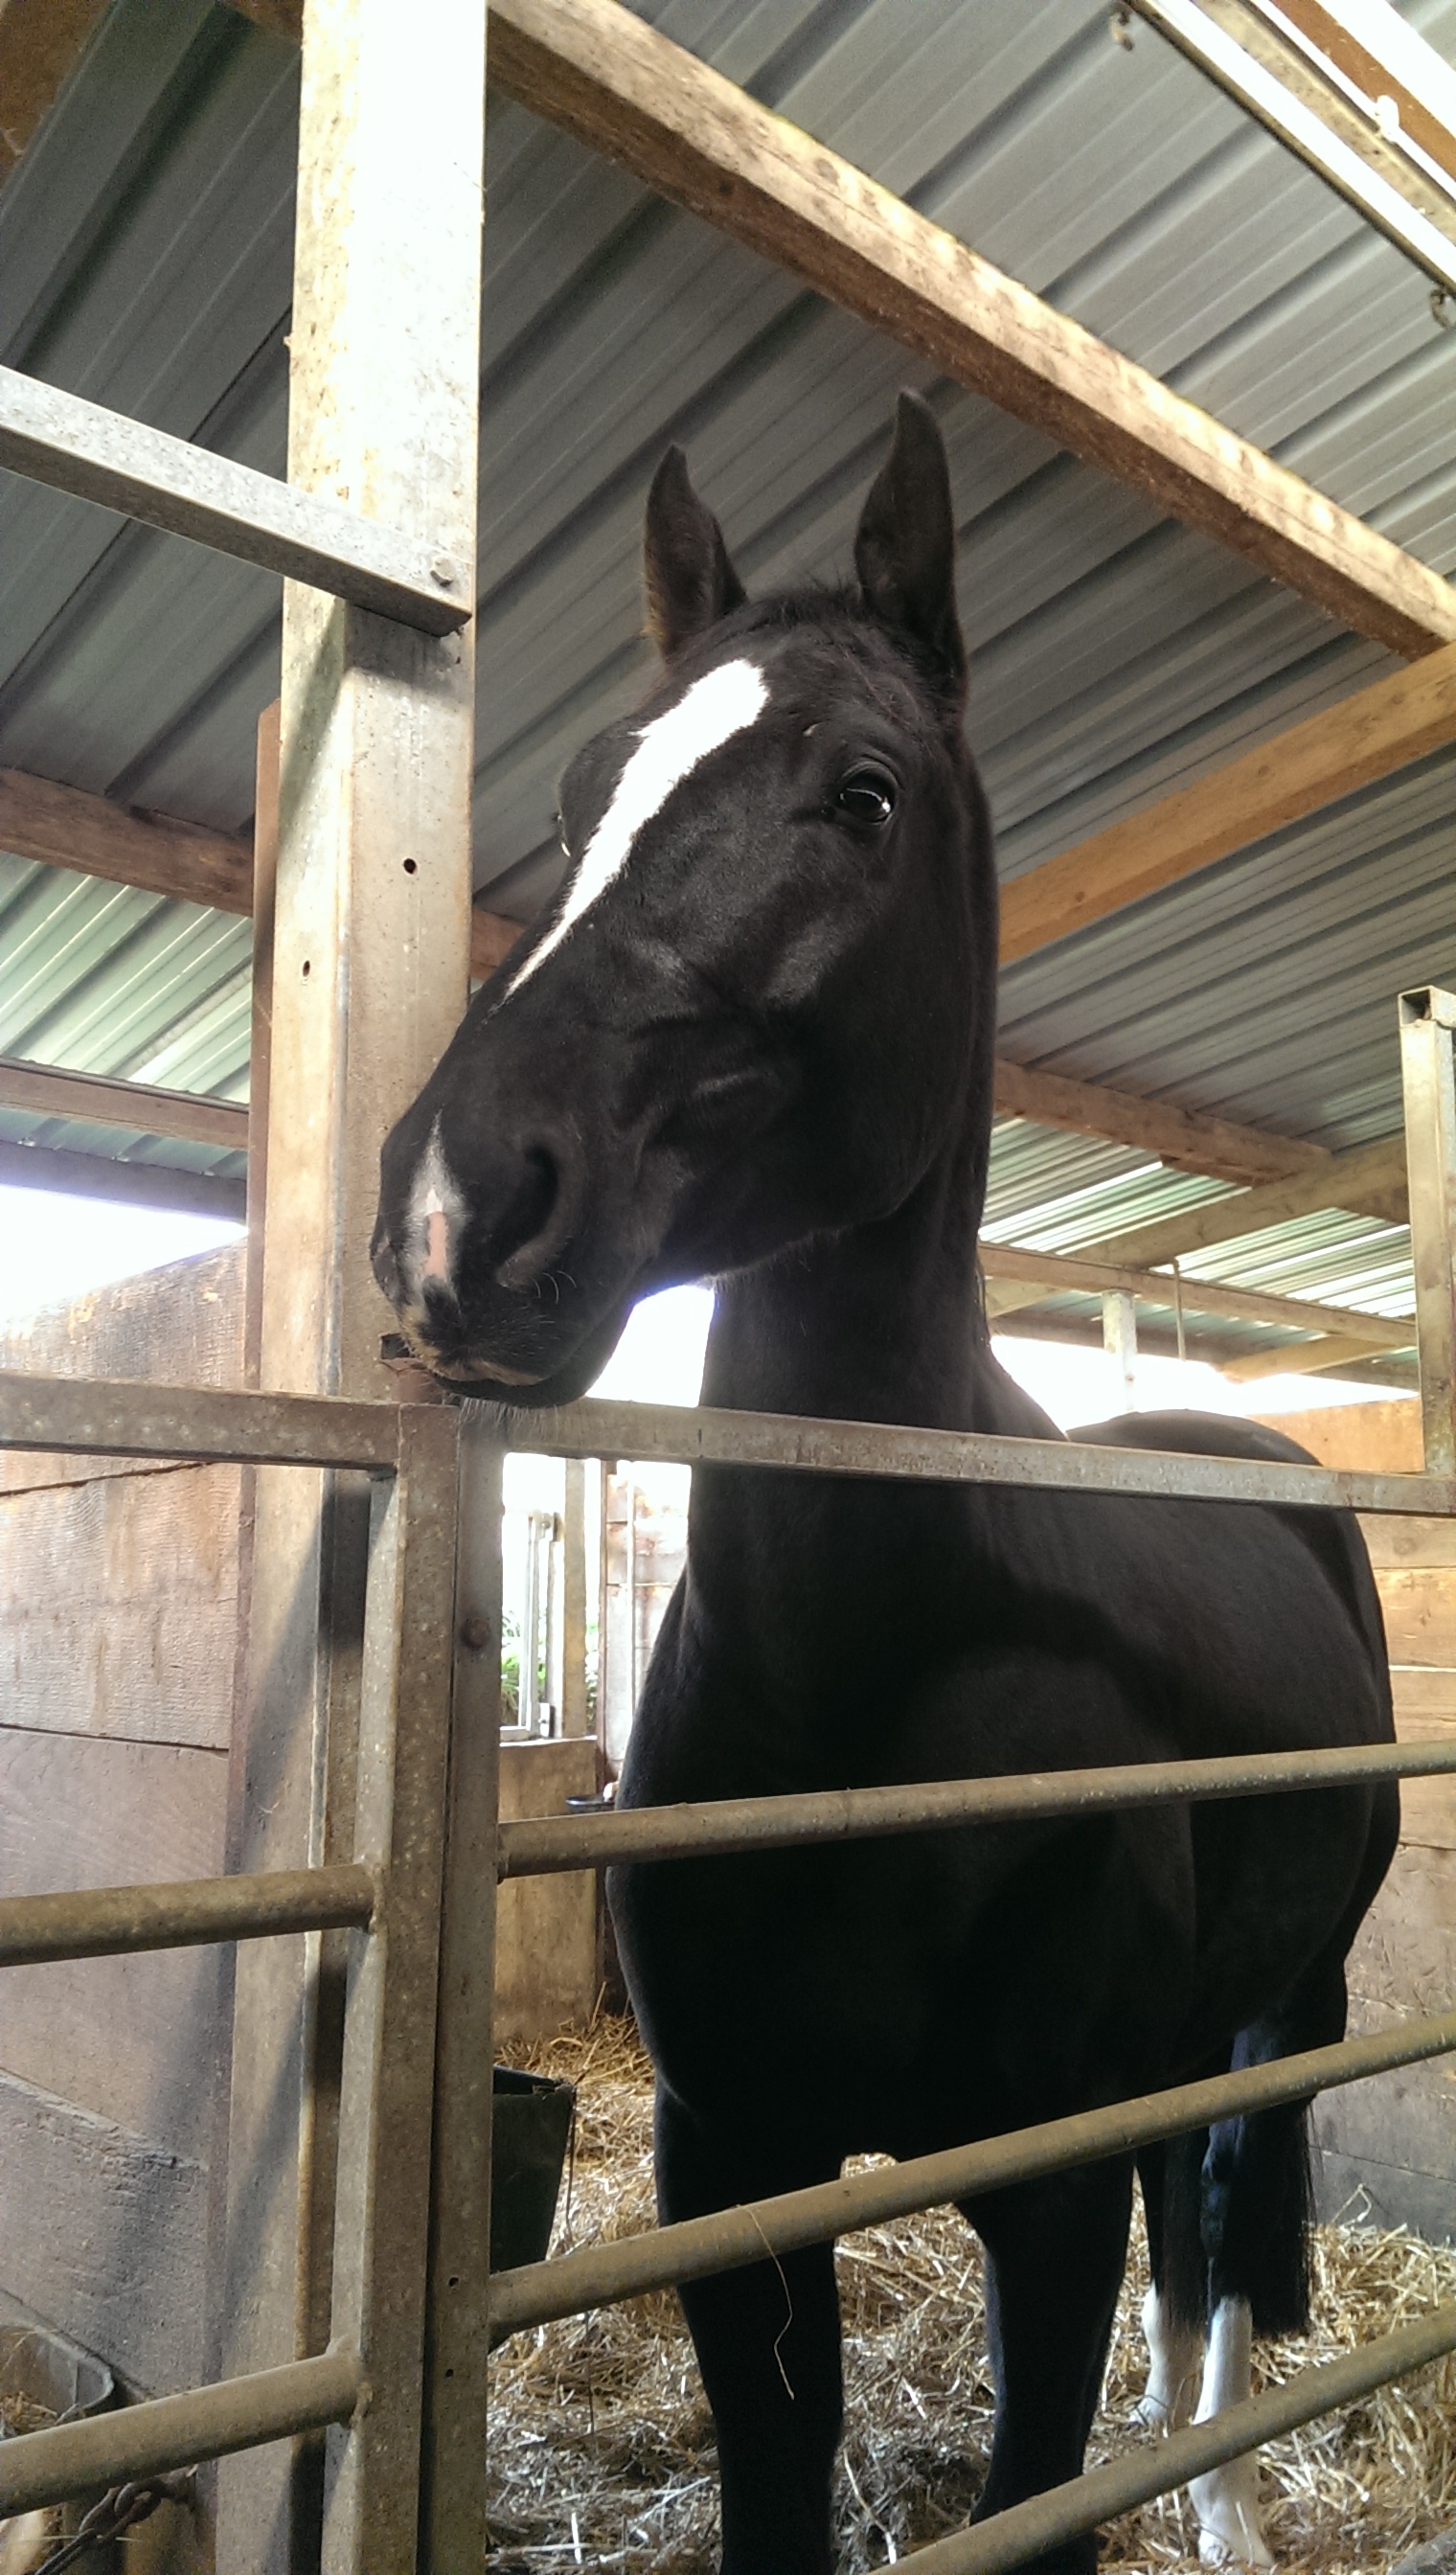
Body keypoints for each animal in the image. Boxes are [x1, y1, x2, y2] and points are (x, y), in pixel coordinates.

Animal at [374, 396, 1391, 2575]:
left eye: (863, 793)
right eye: (585, 790)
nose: (453, 1210)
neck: (875, 1683)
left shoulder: (1045, 2197)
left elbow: (1048, 2466)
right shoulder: (730, 2173)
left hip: (1293, 2003)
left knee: (1224, 2213)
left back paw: (1223, 2501)